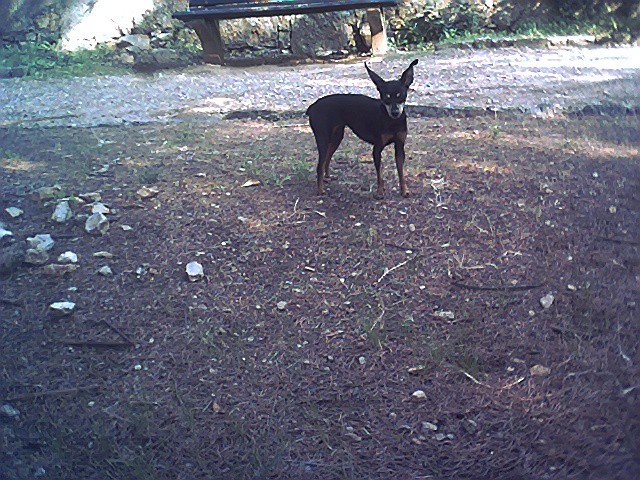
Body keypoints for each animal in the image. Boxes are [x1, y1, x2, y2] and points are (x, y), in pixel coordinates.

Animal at [306, 60, 418, 199]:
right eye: (386, 97)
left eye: (400, 95)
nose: (395, 112)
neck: (392, 121)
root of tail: (312, 107)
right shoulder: (377, 149)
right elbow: (380, 174)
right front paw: (380, 192)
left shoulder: (400, 146)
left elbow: (400, 171)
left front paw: (404, 190)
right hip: (323, 138)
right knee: (319, 165)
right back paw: (320, 190)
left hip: (337, 136)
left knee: (327, 158)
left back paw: (327, 177)